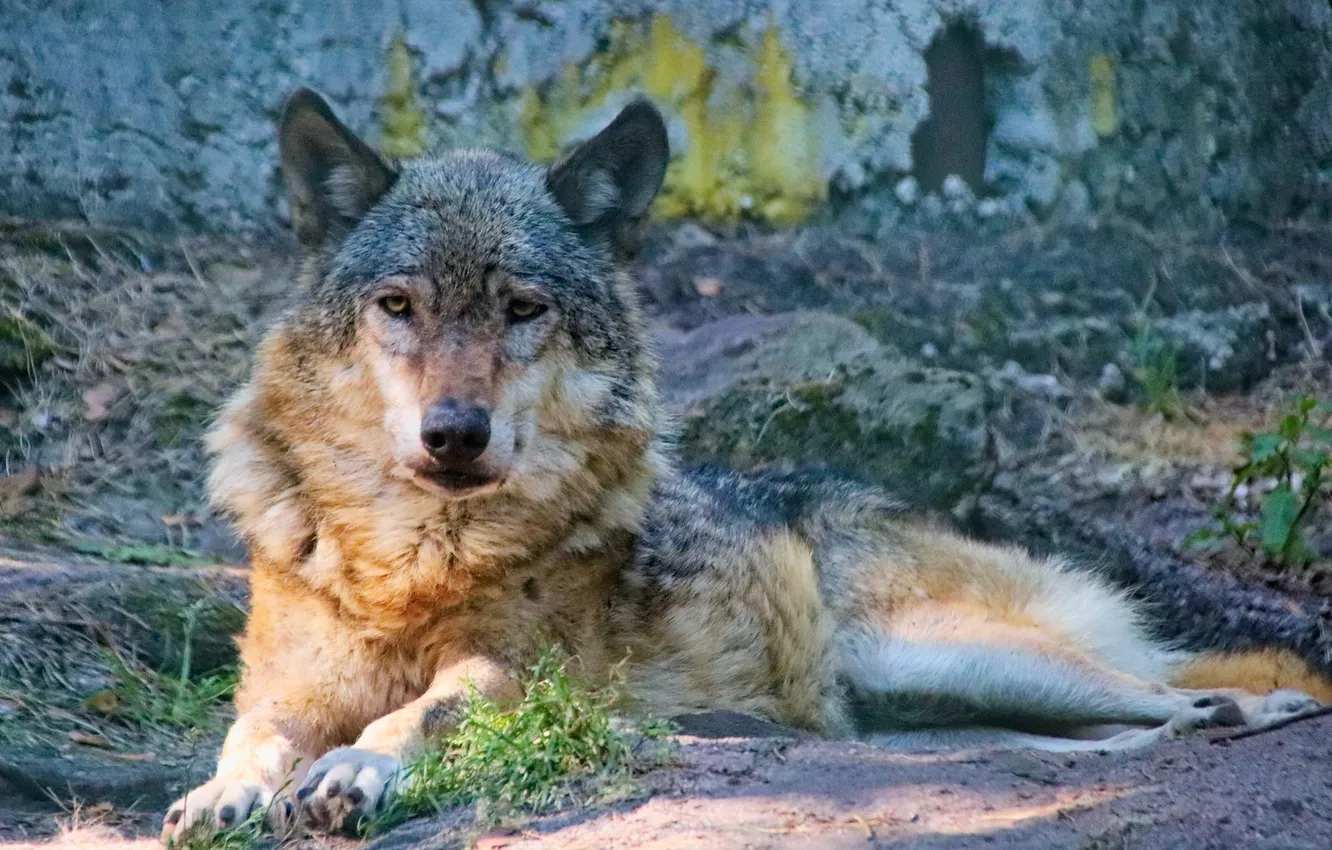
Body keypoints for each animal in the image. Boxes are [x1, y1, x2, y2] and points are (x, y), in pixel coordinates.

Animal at [162, 89, 1332, 843]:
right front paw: (225, 796)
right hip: (916, 696)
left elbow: (428, 710)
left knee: (1199, 690)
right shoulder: (286, 686)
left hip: (938, 650)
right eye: (399, 305)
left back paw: (1241, 713)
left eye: (522, 308)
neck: (411, 562)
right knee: (1096, 733)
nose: (455, 432)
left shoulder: (515, 672)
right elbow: (249, 736)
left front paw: (358, 766)